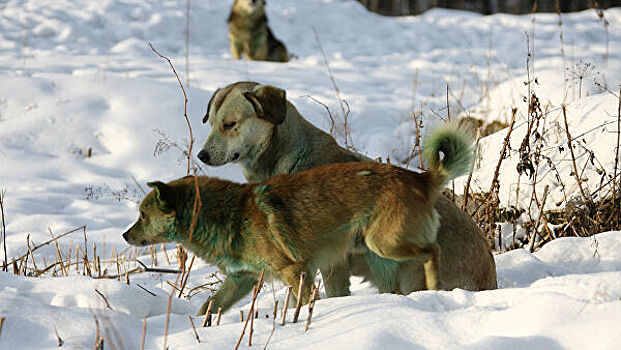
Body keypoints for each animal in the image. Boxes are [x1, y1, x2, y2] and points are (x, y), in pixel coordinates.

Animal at [123, 123, 472, 314]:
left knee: (432, 251)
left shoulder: (296, 272)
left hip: (383, 243)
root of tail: (420, 179)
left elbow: (299, 306)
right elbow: (207, 308)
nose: (125, 236)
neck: (228, 214)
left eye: (142, 215)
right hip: (381, 248)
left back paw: (436, 287)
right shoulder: (242, 279)